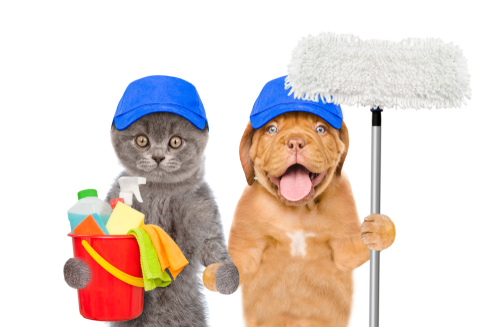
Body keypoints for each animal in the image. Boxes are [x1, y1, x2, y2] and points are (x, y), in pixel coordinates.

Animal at [63, 111, 239, 326]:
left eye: (175, 142)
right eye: (142, 140)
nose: (158, 156)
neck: (160, 190)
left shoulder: (203, 210)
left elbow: (214, 249)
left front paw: (227, 277)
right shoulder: (116, 193)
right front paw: (76, 270)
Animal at [227, 113, 394, 327]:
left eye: (321, 129)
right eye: (271, 129)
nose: (296, 142)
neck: (298, 210)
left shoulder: (343, 248)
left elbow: (355, 246)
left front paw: (381, 229)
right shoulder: (247, 245)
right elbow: (238, 262)